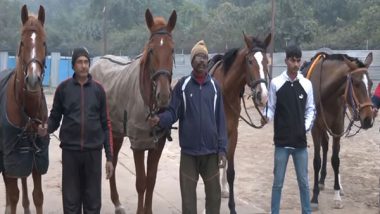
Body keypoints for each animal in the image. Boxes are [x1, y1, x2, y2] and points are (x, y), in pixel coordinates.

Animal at [90, 8, 177, 214]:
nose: (163, 96)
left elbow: (151, 181)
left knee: (112, 162)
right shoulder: (138, 144)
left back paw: (117, 202)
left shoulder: (157, 144)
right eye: (151, 50)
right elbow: (141, 182)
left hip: (116, 132)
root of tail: (96, 63)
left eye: (172, 50)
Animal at [209, 32, 272, 214]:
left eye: (266, 61)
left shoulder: (232, 133)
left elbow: (230, 171)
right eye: (250, 61)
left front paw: (232, 207)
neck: (226, 91)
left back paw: (223, 190)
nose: (262, 95)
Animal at [304, 51, 376, 209]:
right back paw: (321, 181)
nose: (368, 119)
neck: (326, 93)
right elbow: (317, 161)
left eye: (371, 83)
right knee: (324, 147)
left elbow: (336, 160)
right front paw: (314, 197)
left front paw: (337, 194)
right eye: (355, 83)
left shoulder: (338, 127)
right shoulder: (316, 129)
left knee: (328, 149)